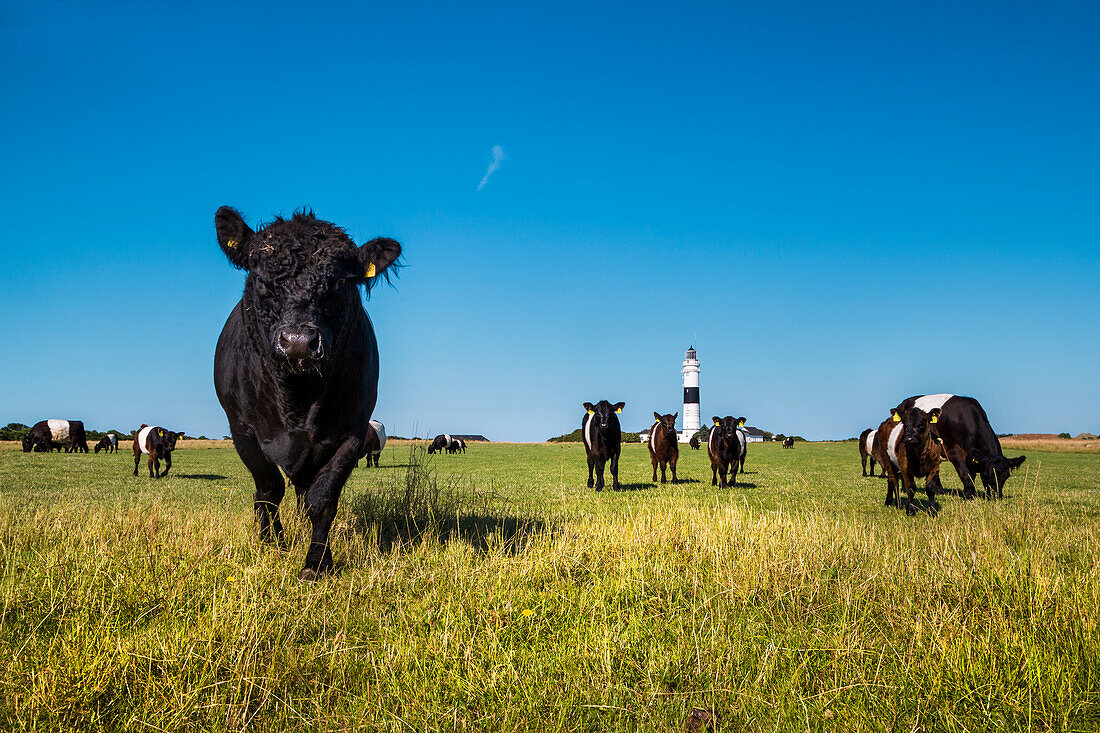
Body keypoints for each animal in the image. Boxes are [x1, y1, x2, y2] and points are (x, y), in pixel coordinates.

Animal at [212, 203, 402, 576]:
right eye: (259, 278)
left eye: (342, 281)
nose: (298, 341)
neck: (297, 398)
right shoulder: (241, 429)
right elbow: (268, 489)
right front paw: (273, 543)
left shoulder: (352, 430)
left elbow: (322, 498)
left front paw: (316, 562)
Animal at [897, 391, 1025, 499]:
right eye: (986, 474)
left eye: (1005, 476)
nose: (996, 496)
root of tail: (902, 403)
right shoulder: (954, 451)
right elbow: (965, 474)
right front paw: (970, 495)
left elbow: (971, 475)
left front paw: (969, 492)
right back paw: (904, 489)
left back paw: (938, 489)